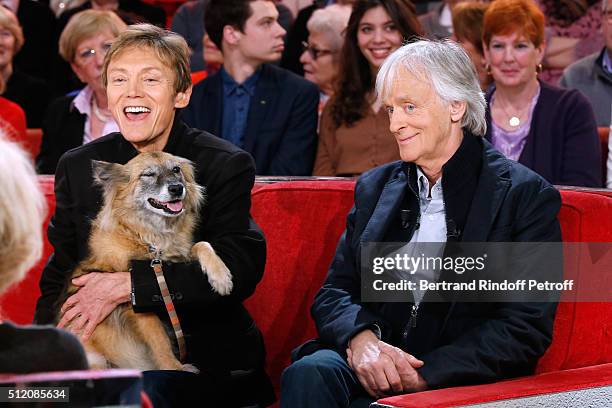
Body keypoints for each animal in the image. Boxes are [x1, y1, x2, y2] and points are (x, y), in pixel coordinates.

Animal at [62, 151, 233, 372]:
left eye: (176, 169)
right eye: (148, 174)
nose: (177, 188)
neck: (149, 237)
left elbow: (202, 244)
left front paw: (221, 276)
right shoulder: (135, 307)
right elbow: (159, 339)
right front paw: (175, 367)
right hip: (95, 362)